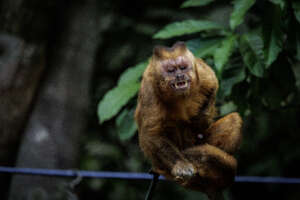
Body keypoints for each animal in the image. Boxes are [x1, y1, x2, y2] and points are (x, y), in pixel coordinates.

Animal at [135, 41, 243, 199]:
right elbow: (152, 133)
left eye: (183, 67)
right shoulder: (150, 88)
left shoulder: (201, 71)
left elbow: (213, 83)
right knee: (172, 125)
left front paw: (201, 116)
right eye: (171, 70)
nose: (180, 75)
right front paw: (181, 165)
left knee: (234, 120)